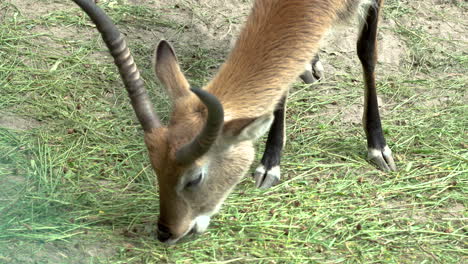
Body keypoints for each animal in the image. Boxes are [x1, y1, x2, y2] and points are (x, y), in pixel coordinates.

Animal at [73, 0, 394, 244]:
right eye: (155, 167)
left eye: (195, 177)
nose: (166, 233)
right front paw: (270, 164)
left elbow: (366, 49)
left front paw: (378, 147)